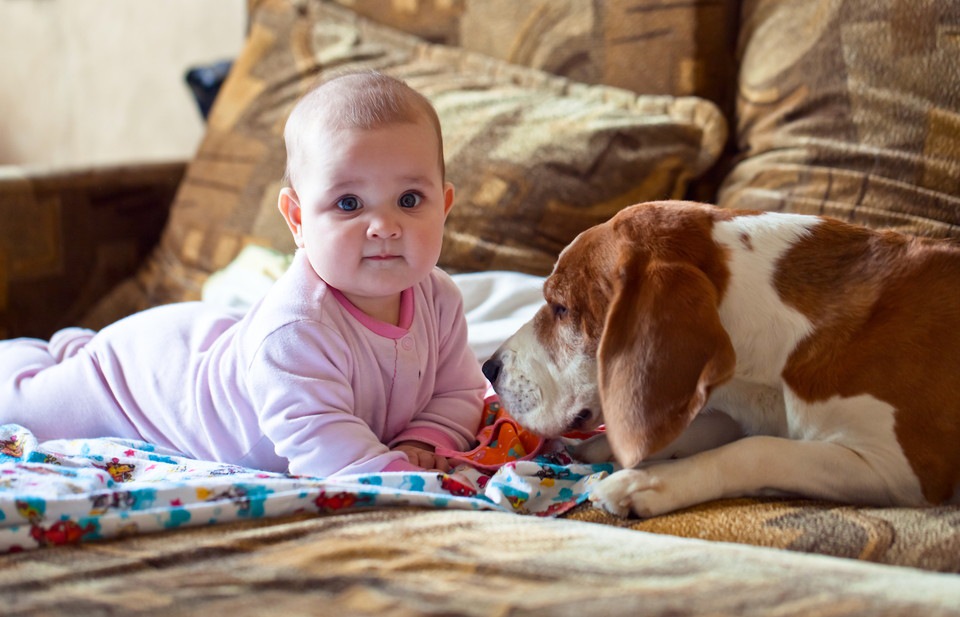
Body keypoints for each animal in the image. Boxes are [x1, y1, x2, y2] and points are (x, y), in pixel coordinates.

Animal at [484, 201, 960, 516]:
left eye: (561, 308)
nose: (489, 369)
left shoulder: (899, 467)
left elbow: (756, 449)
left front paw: (648, 481)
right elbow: (707, 426)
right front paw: (610, 448)